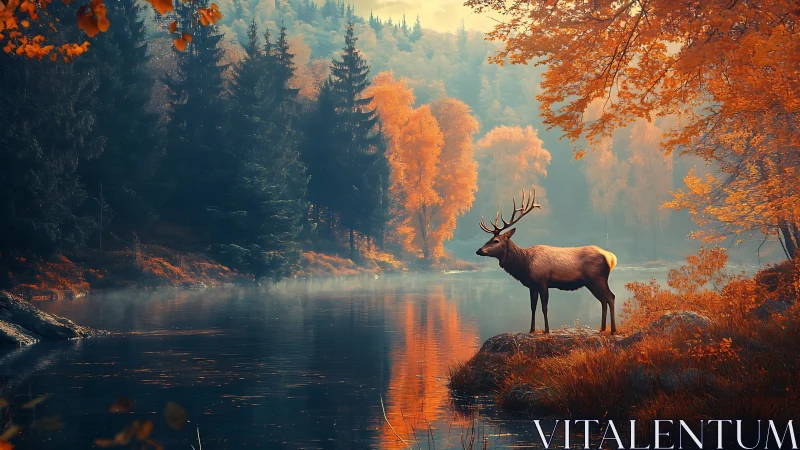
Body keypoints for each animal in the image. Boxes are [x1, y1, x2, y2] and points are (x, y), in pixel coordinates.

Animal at [475, 189, 618, 335]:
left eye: (496, 241)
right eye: (489, 239)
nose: (479, 250)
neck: (525, 265)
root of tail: (610, 257)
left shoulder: (543, 281)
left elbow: (544, 307)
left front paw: (547, 330)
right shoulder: (532, 285)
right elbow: (532, 307)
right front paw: (531, 330)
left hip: (598, 278)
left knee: (610, 297)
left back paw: (613, 330)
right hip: (591, 283)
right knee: (603, 300)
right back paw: (602, 328)